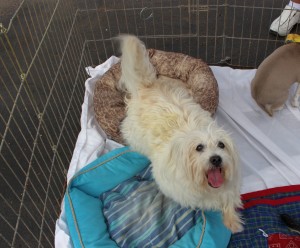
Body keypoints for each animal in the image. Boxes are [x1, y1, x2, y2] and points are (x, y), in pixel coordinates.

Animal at [118, 34, 243, 232]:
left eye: (221, 145)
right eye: (199, 148)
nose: (216, 159)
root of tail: (147, 86)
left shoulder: (230, 185)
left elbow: (229, 199)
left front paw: (232, 221)